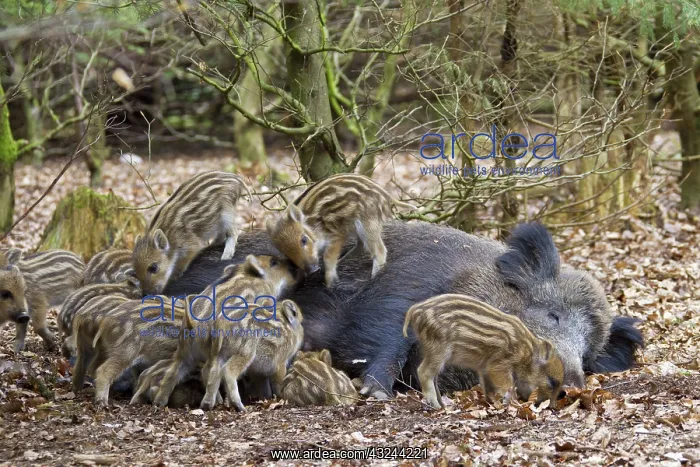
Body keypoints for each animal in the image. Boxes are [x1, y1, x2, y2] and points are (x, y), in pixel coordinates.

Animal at [266, 173, 413, 287]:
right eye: (285, 252)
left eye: (304, 240)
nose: (313, 271)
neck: (311, 226)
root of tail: (387, 197)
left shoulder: (337, 234)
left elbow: (328, 256)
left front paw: (330, 283)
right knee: (361, 245)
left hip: (368, 223)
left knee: (379, 251)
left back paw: (372, 279)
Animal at [403, 294, 565, 408]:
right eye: (552, 381)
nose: (553, 407)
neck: (527, 353)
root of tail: (415, 310)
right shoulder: (498, 364)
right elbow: (507, 385)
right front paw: (512, 403)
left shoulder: (485, 368)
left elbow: (488, 387)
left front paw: (491, 403)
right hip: (439, 349)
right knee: (423, 372)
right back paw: (436, 406)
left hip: (432, 351)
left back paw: (444, 405)